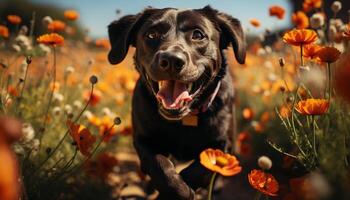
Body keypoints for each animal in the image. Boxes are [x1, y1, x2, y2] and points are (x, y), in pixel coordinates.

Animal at [108, 5, 245, 199]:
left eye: (198, 35)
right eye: (152, 34)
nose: (172, 60)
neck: (184, 119)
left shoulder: (224, 143)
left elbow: (203, 167)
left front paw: (186, 188)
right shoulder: (143, 140)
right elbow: (160, 166)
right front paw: (178, 189)